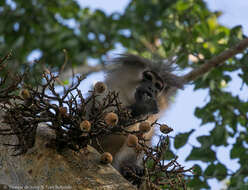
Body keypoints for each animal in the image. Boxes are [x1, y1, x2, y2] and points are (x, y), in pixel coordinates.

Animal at [89, 53, 182, 183]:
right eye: (148, 77)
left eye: (158, 86)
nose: (152, 89)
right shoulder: (103, 95)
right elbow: (95, 127)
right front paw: (142, 106)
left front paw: (132, 168)